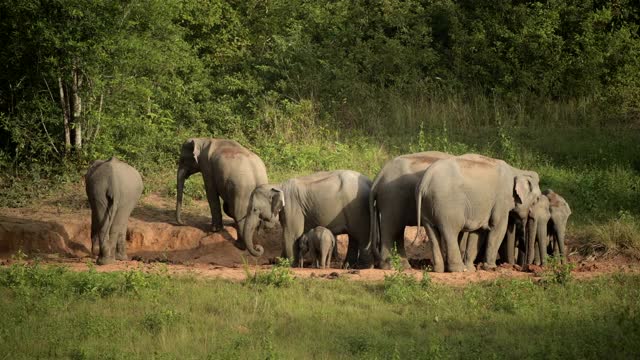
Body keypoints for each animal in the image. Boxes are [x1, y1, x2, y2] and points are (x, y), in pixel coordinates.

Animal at [244, 170, 376, 268]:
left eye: (254, 209)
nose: (258, 248)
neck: (278, 186)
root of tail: (370, 182)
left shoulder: (293, 208)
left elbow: (291, 234)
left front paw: (289, 265)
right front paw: (281, 262)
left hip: (358, 209)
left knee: (362, 236)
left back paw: (363, 267)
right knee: (354, 237)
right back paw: (347, 267)